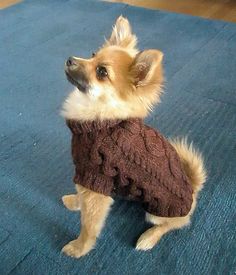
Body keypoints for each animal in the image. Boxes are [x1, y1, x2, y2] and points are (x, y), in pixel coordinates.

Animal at [61, 16, 206, 258]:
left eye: (101, 72)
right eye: (92, 54)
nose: (70, 59)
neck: (101, 119)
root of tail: (193, 188)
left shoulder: (96, 179)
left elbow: (89, 225)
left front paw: (79, 248)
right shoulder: (87, 176)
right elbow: (81, 196)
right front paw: (74, 202)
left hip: (158, 211)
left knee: (173, 224)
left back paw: (148, 237)